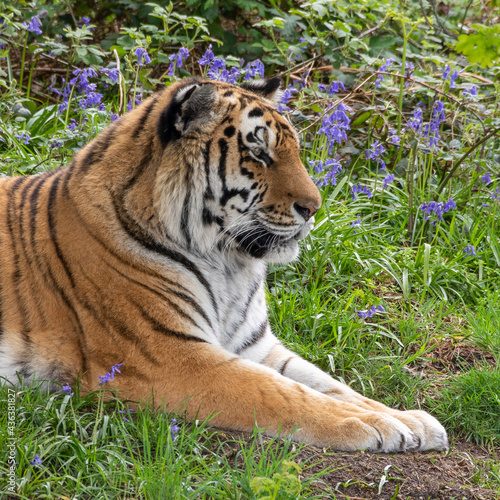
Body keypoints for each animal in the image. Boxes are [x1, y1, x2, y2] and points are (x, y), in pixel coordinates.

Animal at [0, 75, 448, 454]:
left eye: (296, 151)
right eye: (258, 153)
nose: (314, 208)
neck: (229, 264)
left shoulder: (257, 346)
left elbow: (330, 384)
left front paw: (413, 420)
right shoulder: (168, 356)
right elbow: (282, 393)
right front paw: (378, 425)